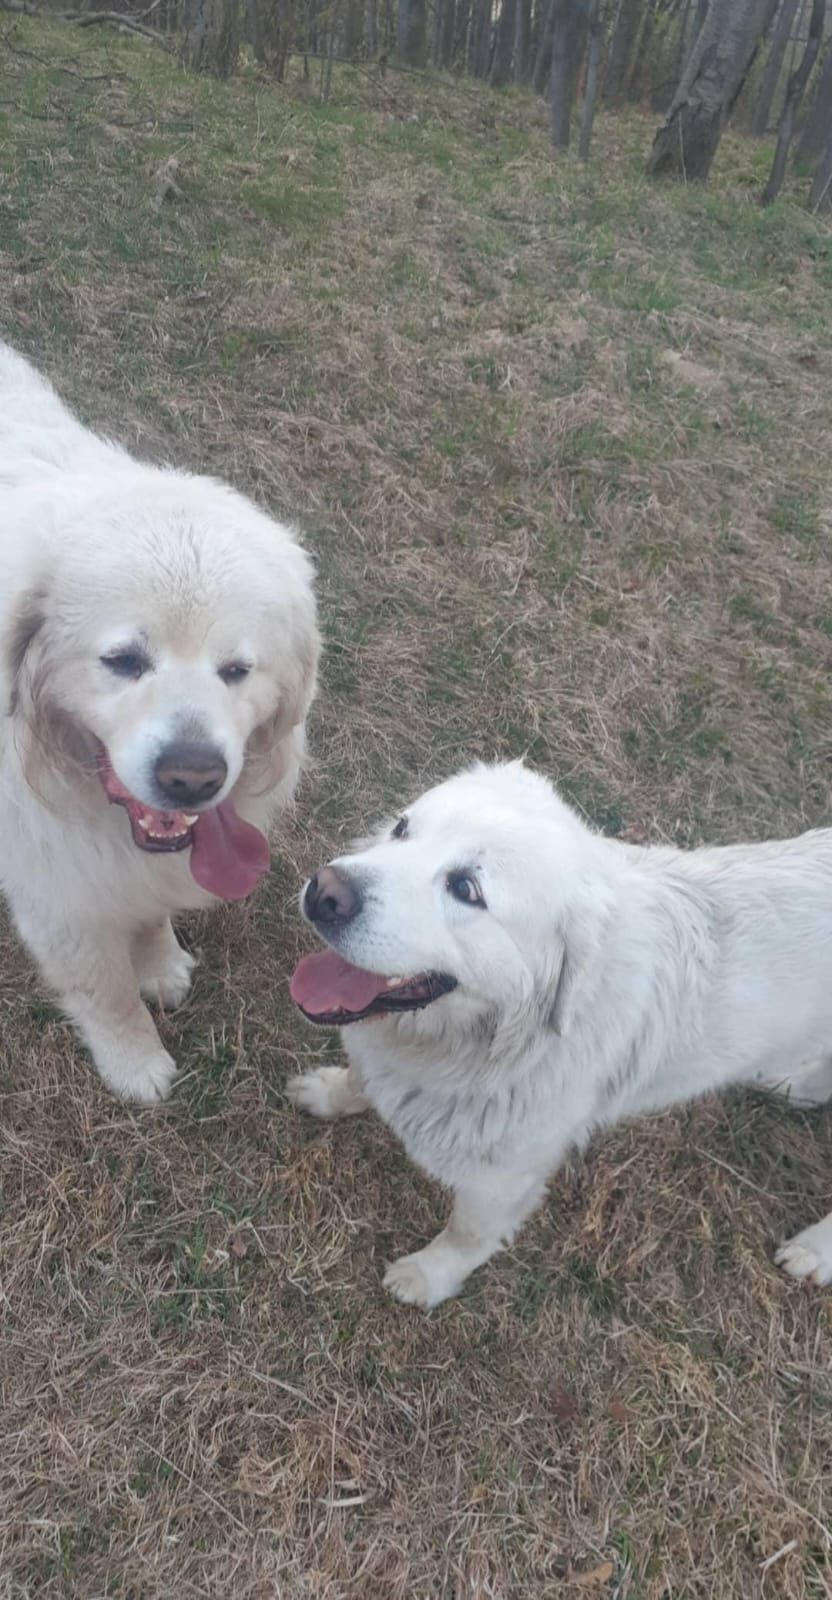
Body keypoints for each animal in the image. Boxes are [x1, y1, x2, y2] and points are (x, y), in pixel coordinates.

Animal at [0, 340, 318, 1100]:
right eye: (122, 660)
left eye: (237, 670)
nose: (192, 778)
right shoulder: (58, 894)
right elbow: (106, 992)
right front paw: (134, 1062)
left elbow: (148, 914)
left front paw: (159, 961)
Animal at [288, 758, 832, 1299]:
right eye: (402, 828)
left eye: (466, 889)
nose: (324, 892)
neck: (490, 1045)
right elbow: (360, 1077)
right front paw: (329, 1092)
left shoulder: (502, 1178)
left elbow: (467, 1235)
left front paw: (427, 1278)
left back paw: (814, 1251)